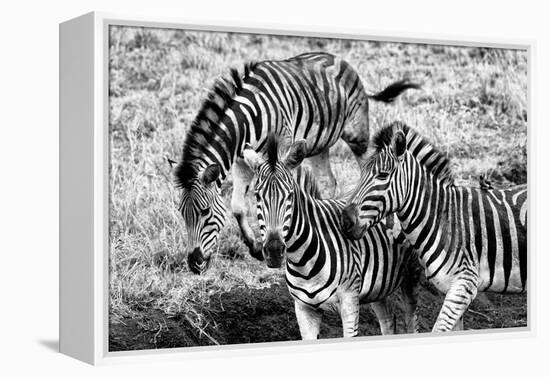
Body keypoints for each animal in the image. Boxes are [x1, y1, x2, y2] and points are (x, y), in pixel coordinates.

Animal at [175, 50, 420, 274]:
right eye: (182, 213)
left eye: (205, 211)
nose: (194, 263)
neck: (247, 121)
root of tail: (340, 59)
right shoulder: (242, 161)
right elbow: (236, 207)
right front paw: (255, 247)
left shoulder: (283, 150)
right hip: (319, 145)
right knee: (329, 182)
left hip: (356, 134)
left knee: (369, 169)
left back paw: (386, 223)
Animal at [243, 133, 422, 338]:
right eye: (257, 196)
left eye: (289, 196)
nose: (273, 251)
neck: (303, 260)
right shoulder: (303, 309)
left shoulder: (349, 301)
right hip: (379, 286)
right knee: (388, 320)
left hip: (411, 275)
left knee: (411, 321)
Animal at [342, 122, 528, 330]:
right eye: (361, 175)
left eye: (382, 175)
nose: (345, 220)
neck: (443, 218)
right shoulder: (451, 288)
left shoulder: (464, 284)